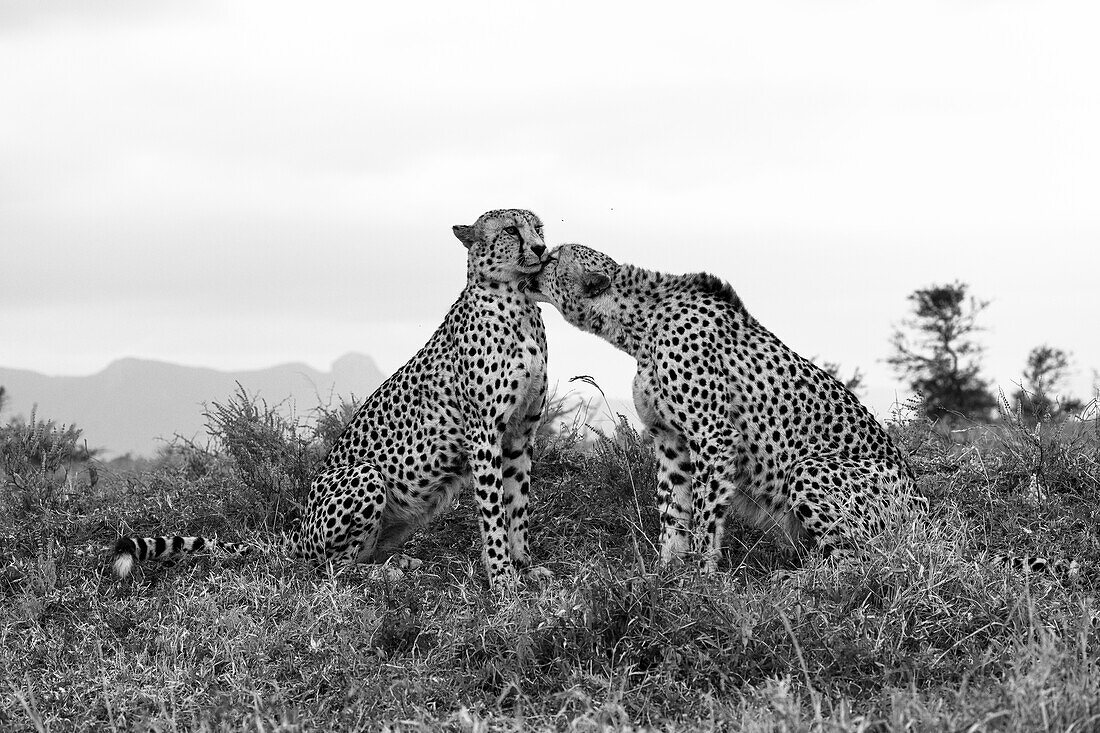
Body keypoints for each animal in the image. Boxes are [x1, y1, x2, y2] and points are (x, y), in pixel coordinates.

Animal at [113, 208, 550, 585]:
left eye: (538, 227)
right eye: (511, 230)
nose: (542, 249)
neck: (518, 301)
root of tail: (297, 530)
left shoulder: (520, 434)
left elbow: (518, 506)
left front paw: (525, 566)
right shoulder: (484, 433)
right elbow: (494, 512)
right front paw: (502, 578)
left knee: (359, 553)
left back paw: (398, 562)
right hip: (364, 476)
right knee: (333, 567)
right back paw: (381, 573)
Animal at [525, 242, 1073, 572]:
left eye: (552, 261)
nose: (533, 261)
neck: (642, 321)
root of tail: (925, 511)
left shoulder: (714, 438)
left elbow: (703, 515)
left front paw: (699, 578)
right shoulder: (672, 441)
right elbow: (673, 513)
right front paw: (666, 573)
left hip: (812, 470)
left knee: (859, 562)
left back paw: (804, 583)